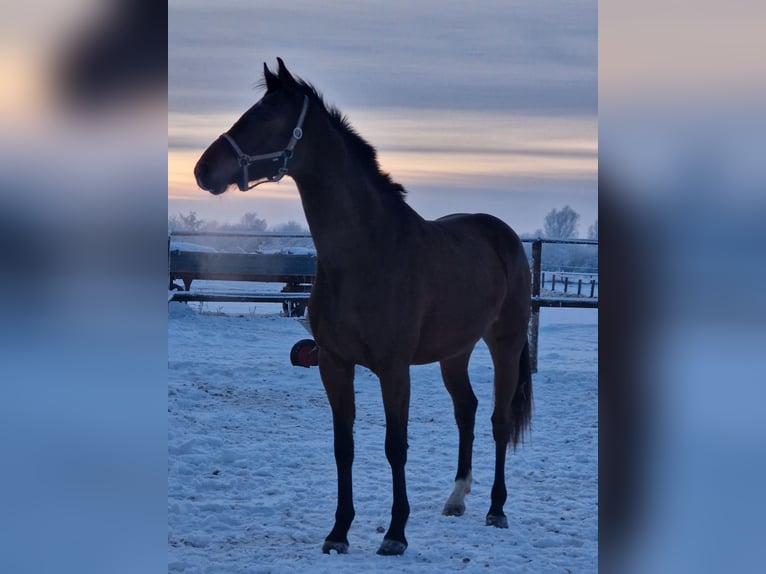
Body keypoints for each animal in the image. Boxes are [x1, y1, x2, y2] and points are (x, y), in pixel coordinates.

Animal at [194, 58, 532, 556]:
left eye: (267, 117)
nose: (203, 171)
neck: (366, 253)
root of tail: (504, 235)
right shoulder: (334, 364)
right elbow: (344, 446)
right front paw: (338, 532)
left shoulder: (394, 369)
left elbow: (396, 446)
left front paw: (395, 534)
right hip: (455, 352)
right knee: (466, 411)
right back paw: (456, 499)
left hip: (504, 345)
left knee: (498, 420)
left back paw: (496, 508)